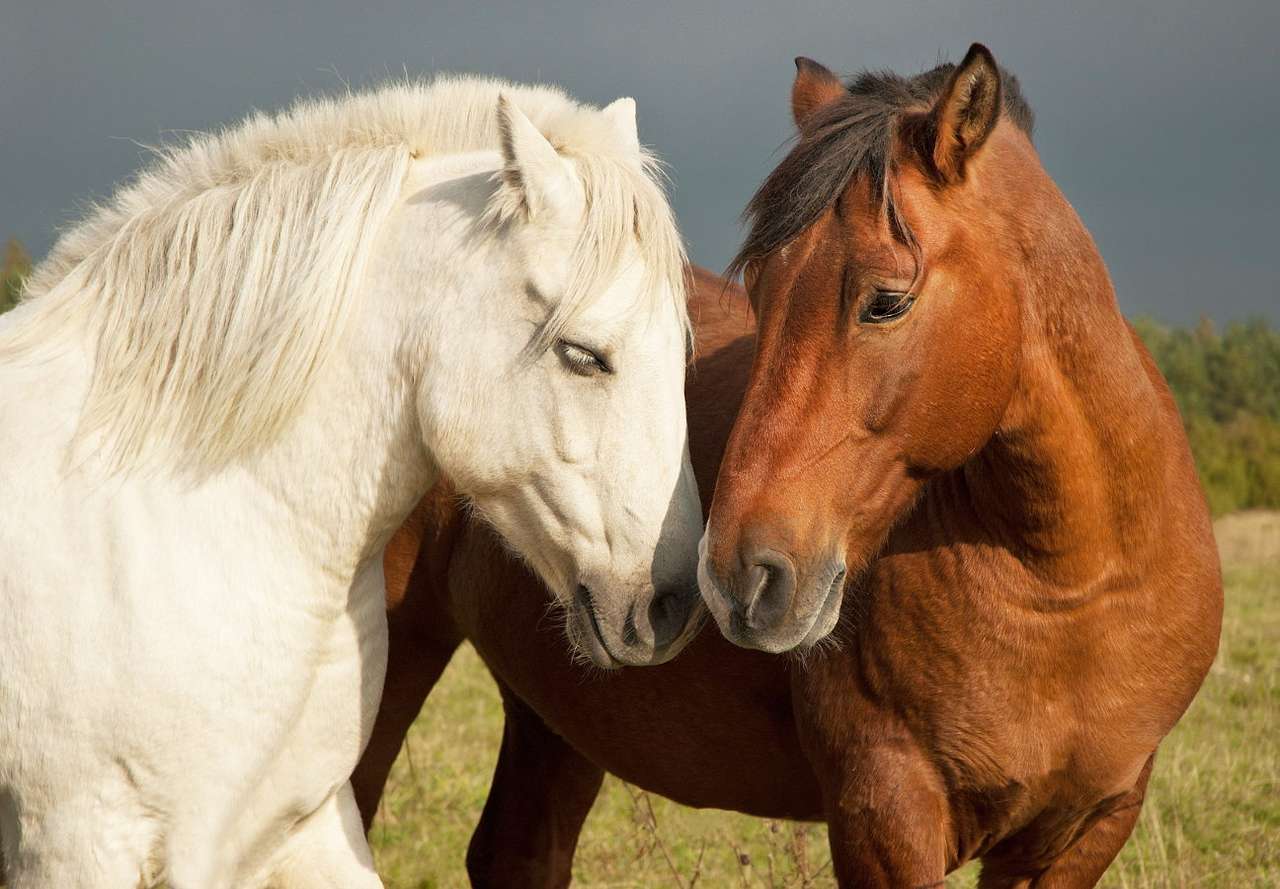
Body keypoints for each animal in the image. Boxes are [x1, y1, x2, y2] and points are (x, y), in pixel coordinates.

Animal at [350, 48, 1218, 889]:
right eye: (761, 292)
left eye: (887, 300)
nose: (739, 575)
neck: (1070, 582)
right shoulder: (884, 814)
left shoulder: (1084, 829)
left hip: (558, 707)